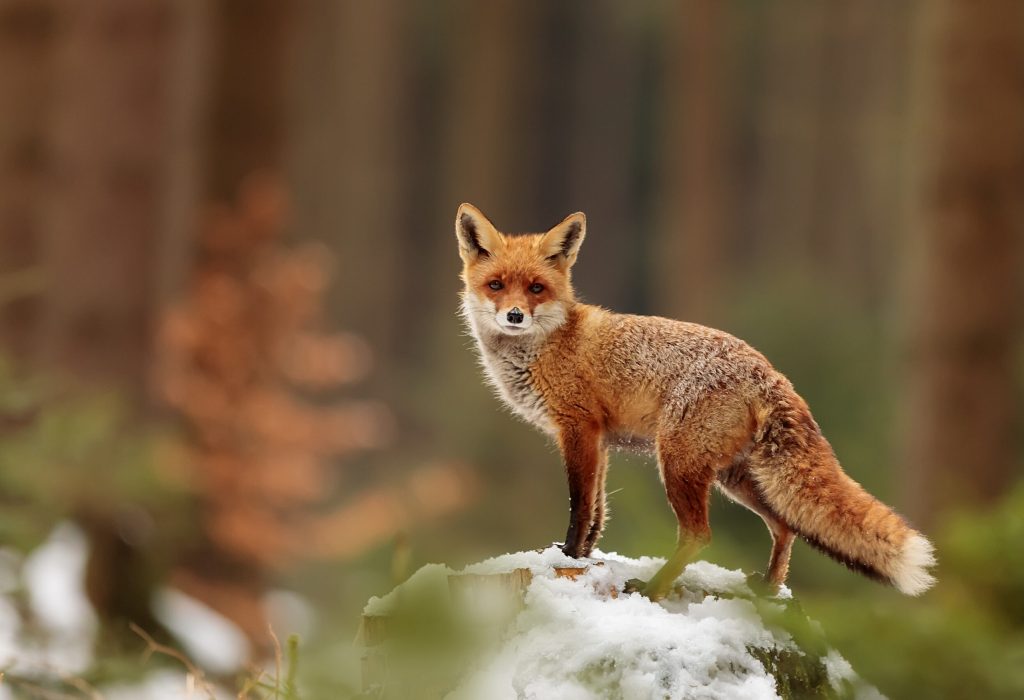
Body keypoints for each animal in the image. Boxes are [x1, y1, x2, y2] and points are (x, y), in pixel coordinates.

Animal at [455, 202, 936, 600]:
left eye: (536, 288)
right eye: (496, 285)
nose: (514, 315)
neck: (548, 344)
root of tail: (770, 371)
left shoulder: (578, 429)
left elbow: (580, 505)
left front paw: (569, 556)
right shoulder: (599, 440)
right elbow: (598, 510)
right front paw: (586, 555)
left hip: (680, 462)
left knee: (700, 535)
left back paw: (654, 589)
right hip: (737, 477)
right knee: (785, 526)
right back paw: (768, 588)